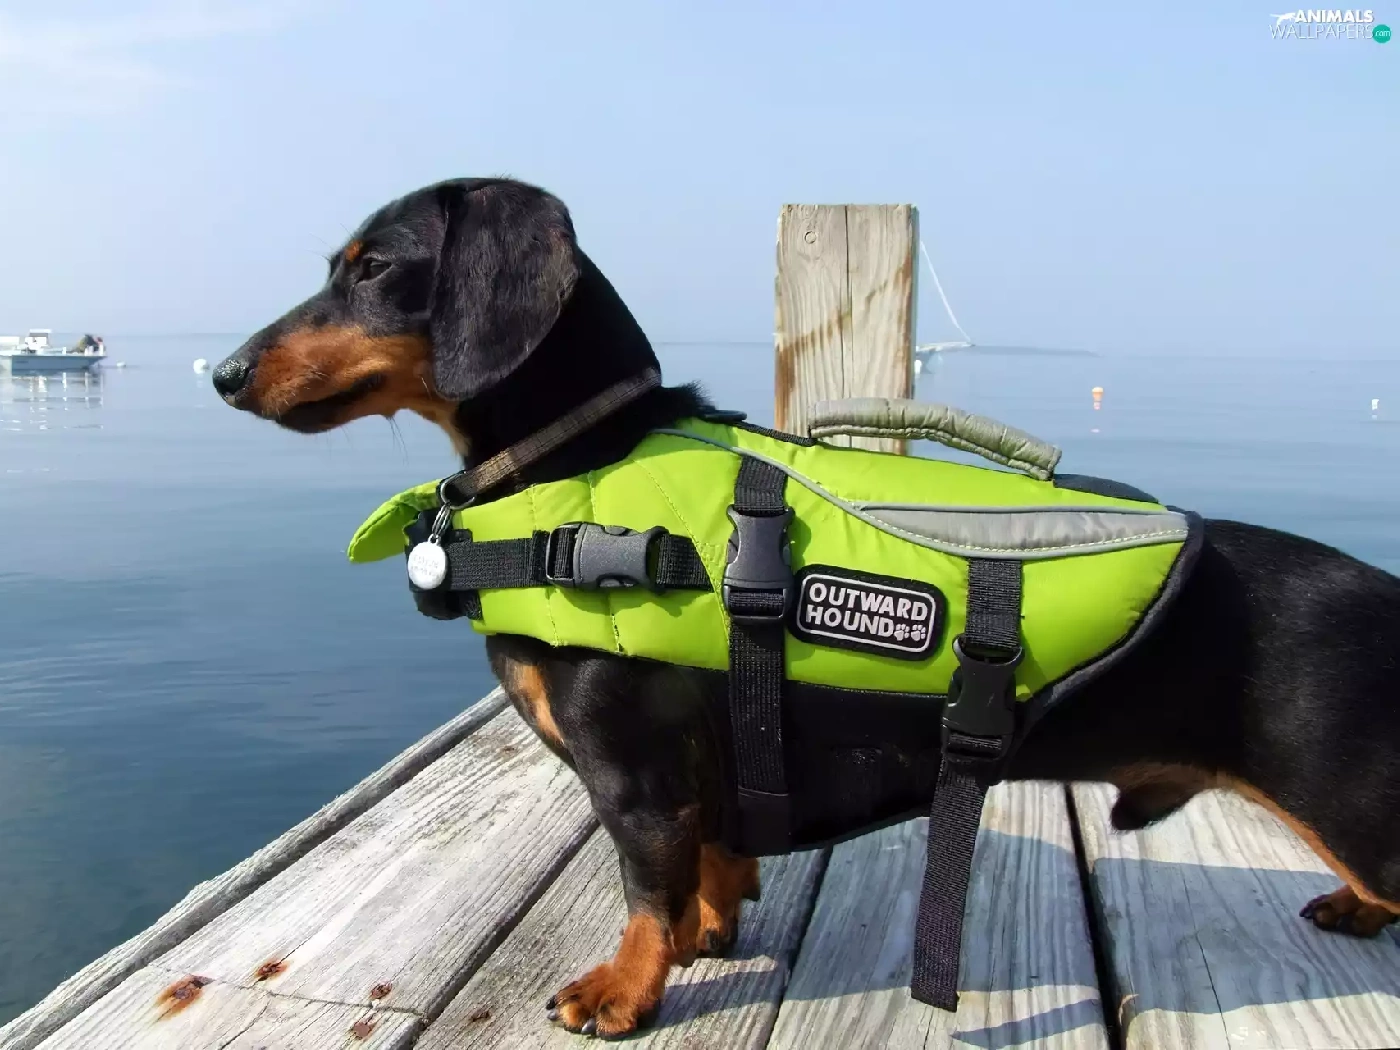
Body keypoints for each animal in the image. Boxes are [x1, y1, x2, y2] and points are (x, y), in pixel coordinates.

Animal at [215, 177, 1400, 1038]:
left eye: (376, 268)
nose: (222, 372)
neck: (579, 464)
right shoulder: (705, 773)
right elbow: (705, 866)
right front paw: (709, 926)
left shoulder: (633, 777)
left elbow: (642, 891)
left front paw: (623, 991)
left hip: (1355, 805)